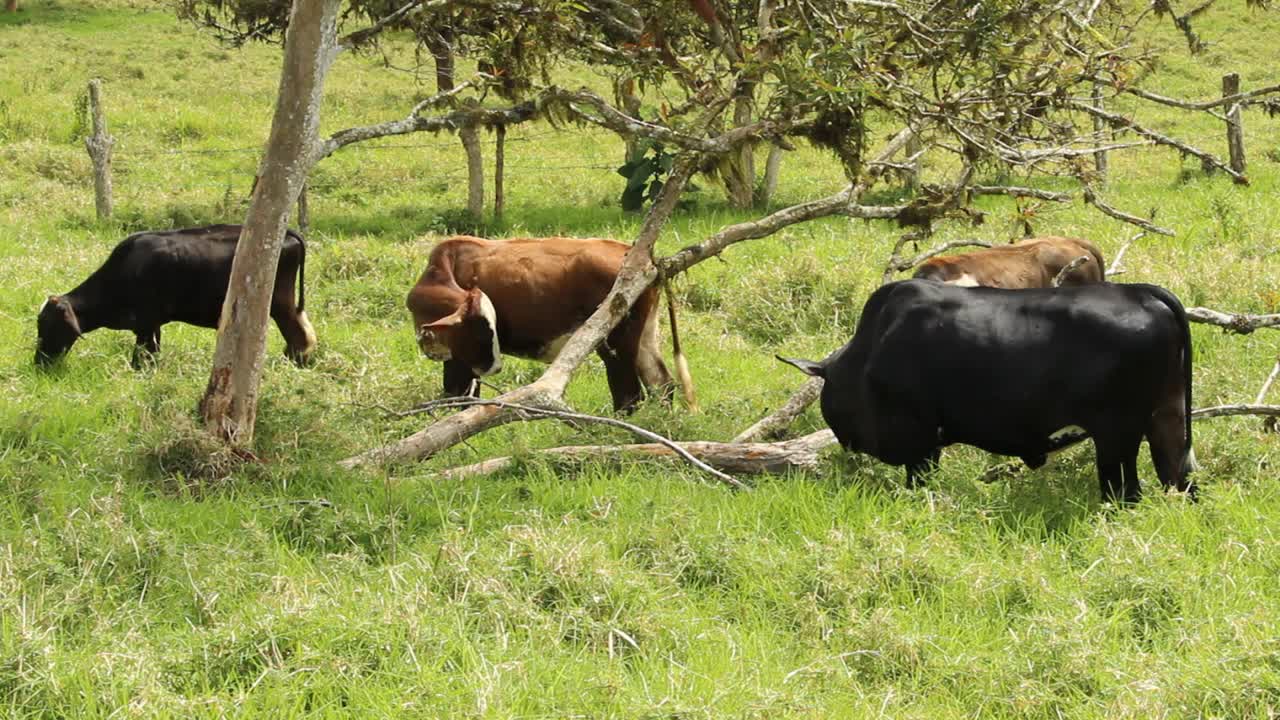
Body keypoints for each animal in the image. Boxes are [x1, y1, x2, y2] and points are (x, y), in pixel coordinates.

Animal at [35, 222, 314, 368]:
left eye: (50, 325)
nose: (40, 362)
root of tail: (288, 231)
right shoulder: (152, 325)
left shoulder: (146, 324)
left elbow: (143, 357)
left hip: (280, 304)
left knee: (298, 335)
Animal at [407, 235, 691, 412]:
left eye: (485, 327)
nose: (495, 366)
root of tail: (641, 257)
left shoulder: (459, 360)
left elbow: (457, 395)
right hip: (644, 336)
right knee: (662, 383)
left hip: (616, 343)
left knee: (629, 394)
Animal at [778, 278, 1198, 502]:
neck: (871, 349)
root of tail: (1140, 291)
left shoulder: (919, 440)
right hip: (1166, 419)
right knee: (1180, 478)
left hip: (1116, 434)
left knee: (1126, 492)